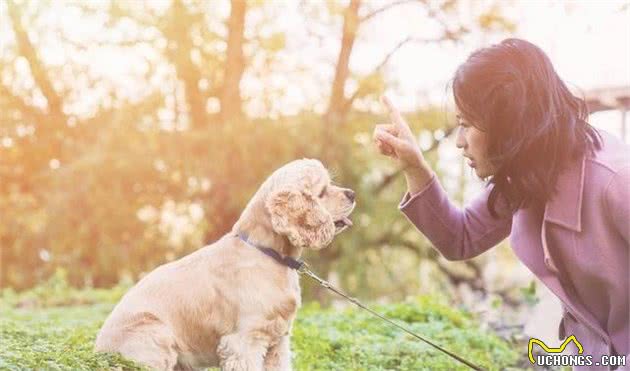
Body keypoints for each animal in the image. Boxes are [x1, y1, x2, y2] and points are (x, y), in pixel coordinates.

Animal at [96, 158, 358, 370]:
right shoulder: (244, 342)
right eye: (322, 192)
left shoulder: (278, 342)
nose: (352, 194)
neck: (268, 254)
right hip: (156, 334)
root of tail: (98, 352)